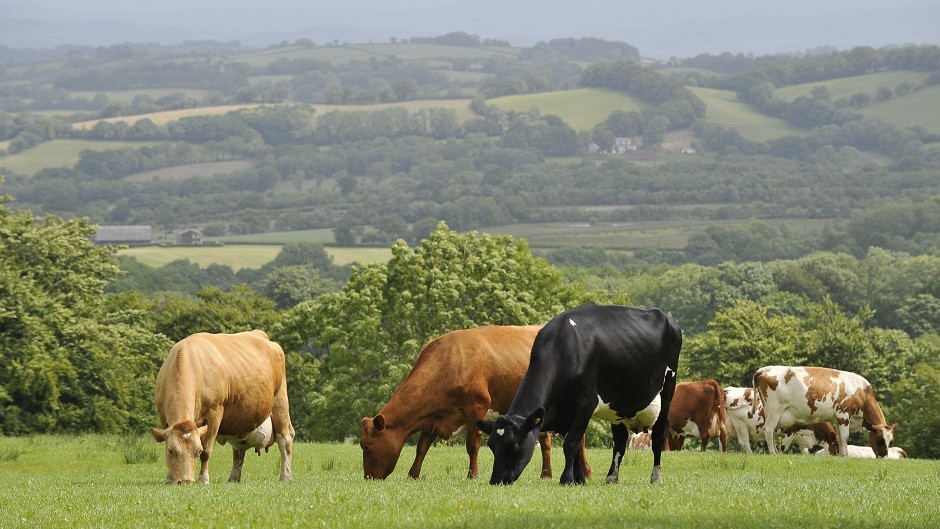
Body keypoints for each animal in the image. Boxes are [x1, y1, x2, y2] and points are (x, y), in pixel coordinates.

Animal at [151, 330, 294, 482]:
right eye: (171, 451)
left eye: (198, 451)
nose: (186, 481)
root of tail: (259, 333)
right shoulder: (163, 416)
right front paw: (169, 478)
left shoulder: (215, 413)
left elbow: (207, 451)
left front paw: (203, 479)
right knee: (238, 450)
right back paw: (233, 478)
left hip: (280, 401)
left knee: (286, 438)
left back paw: (285, 476)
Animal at [360, 324, 588, 480]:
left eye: (367, 446)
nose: (368, 478)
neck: (449, 363)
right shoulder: (436, 416)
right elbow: (422, 446)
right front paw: (413, 474)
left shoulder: (476, 407)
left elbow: (472, 445)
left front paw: (473, 475)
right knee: (546, 441)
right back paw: (546, 474)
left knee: (580, 438)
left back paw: (584, 472)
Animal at [482, 304, 680, 484]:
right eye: (492, 446)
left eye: (514, 447)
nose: (496, 480)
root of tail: (667, 318)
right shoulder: (568, 412)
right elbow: (576, 446)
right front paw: (579, 479)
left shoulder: (585, 403)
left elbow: (570, 444)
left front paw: (567, 479)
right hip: (618, 407)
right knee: (619, 442)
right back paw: (611, 477)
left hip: (667, 391)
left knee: (657, 438)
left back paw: (656, 477)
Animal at [748, 366, 896, 456]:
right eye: (880, 440)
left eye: (891, 441)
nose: (884, 456)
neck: (862, 392)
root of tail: (765, 369)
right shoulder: (843, 414)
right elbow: (845, 437)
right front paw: (845, 455)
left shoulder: (838, 419)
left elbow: (840, 439)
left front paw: (841, 455)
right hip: (775, 409)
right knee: (768, 429)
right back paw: (773, 453)